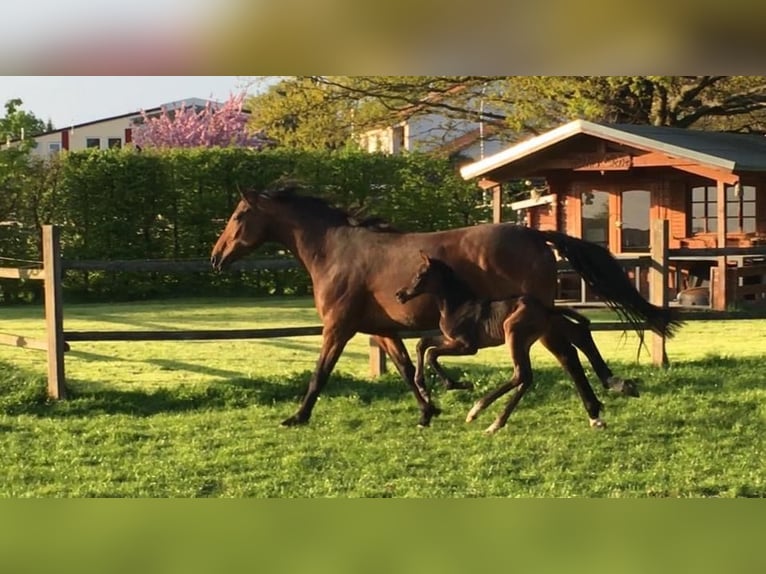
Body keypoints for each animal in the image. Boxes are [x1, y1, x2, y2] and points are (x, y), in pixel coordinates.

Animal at [400, 254, 608, 434]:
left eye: (420, 275)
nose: (400, 294)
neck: (459, 306)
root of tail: (546, 308)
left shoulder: (467, 345)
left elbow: (431, 353)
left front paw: (458, 384)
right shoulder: (450, 339)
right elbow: (422, 343)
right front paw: (424, 387)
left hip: (512, 333)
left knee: (520, 374)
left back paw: (477, 411)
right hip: (524, 342)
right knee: (527, 377)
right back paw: (496, 423)